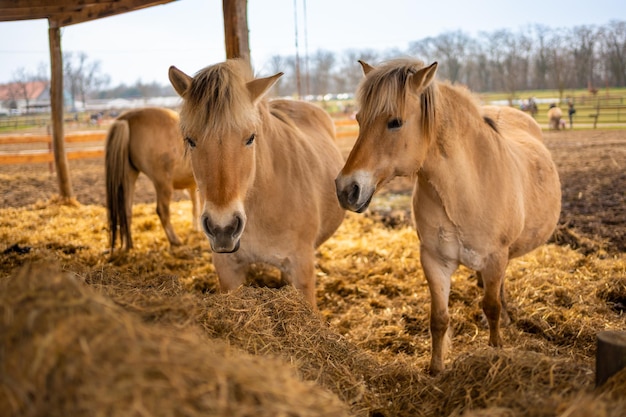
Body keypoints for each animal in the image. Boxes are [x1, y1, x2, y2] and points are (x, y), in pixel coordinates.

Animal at [104, 107, 197, 250]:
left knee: (126, 210)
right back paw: (174, 240)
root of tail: (126, 119)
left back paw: (128, 245)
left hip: (128, 176)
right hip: (163, 182)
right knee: (162, 210)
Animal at [336, 57, 560, 372]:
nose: (346, 189)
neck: (464, 191)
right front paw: (436, 370)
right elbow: (439, 319)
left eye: (395, 122)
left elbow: (491, 307)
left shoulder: (495, 257)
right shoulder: (434, 261)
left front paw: (496, 350)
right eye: (358, 120)